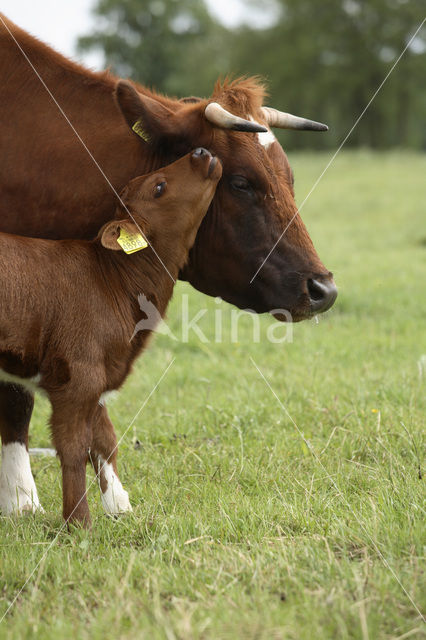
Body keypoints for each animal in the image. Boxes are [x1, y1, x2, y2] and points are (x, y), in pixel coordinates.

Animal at [0, 149, 223, 524]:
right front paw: (78, 521)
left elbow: (105, 440)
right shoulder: (78, 374)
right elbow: (74, 446)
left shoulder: (101, 374)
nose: (201, 151)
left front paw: (120, 507)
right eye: (159, 186)